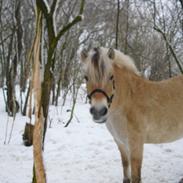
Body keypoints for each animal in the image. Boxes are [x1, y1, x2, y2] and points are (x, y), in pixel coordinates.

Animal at [80, 47, 183, 183]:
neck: (128, 100)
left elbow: (136, 176)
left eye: (111, 77)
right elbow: (125, 167)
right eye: (86, 77)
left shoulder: (136, 145)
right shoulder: (121, 143)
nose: (98, 111)